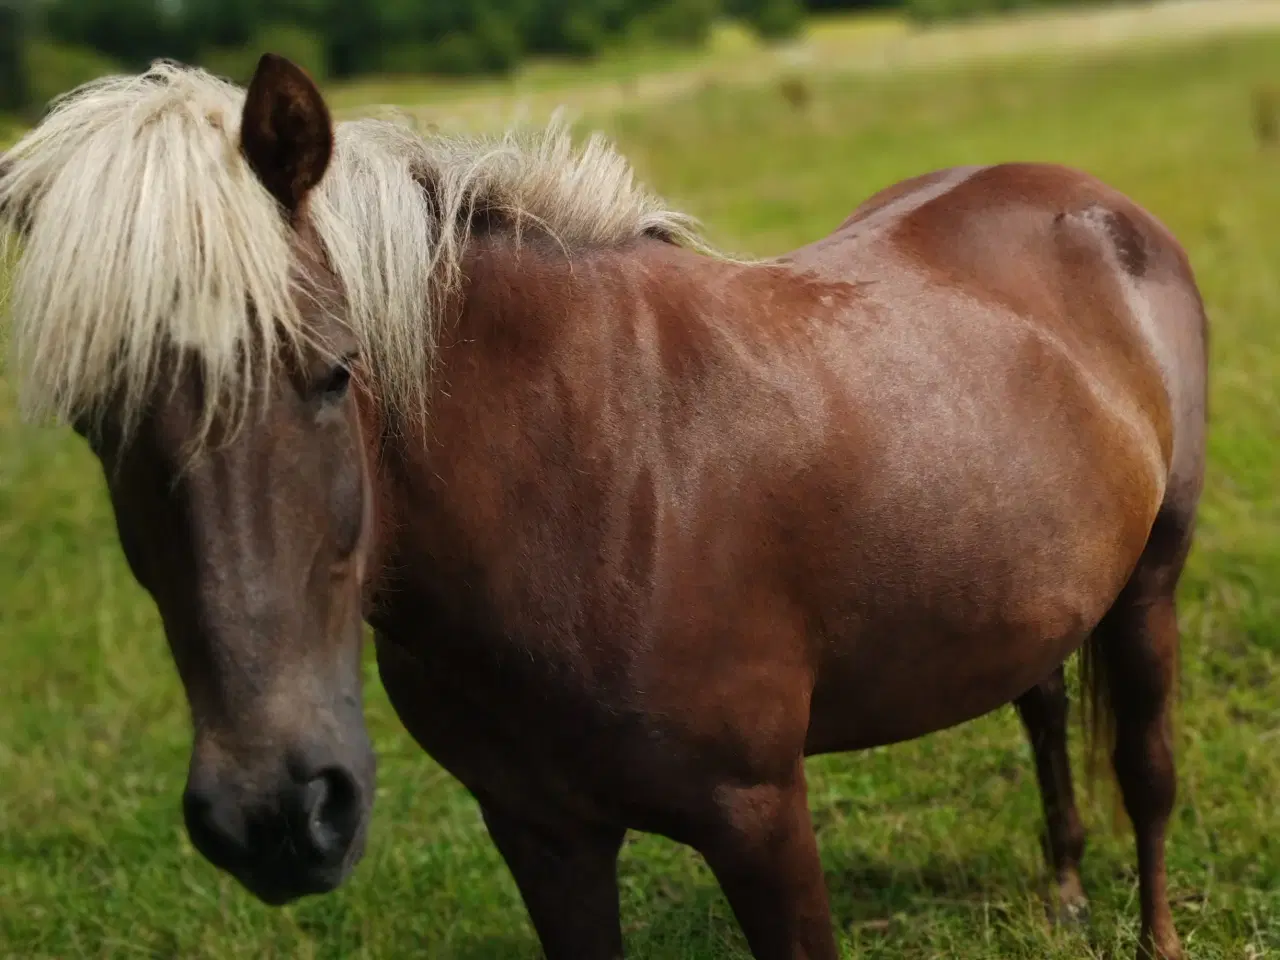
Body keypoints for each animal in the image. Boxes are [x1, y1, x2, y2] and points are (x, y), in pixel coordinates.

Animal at [0, 54, 1203, 960]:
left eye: (335, 372)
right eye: (94, 421)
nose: (277, 814)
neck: (585, 489)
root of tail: (1089, 201)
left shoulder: (760, 815)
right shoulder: (541, 835)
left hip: (1150, 579)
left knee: (1146, 776)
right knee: (1041, 707)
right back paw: (1063, 892)